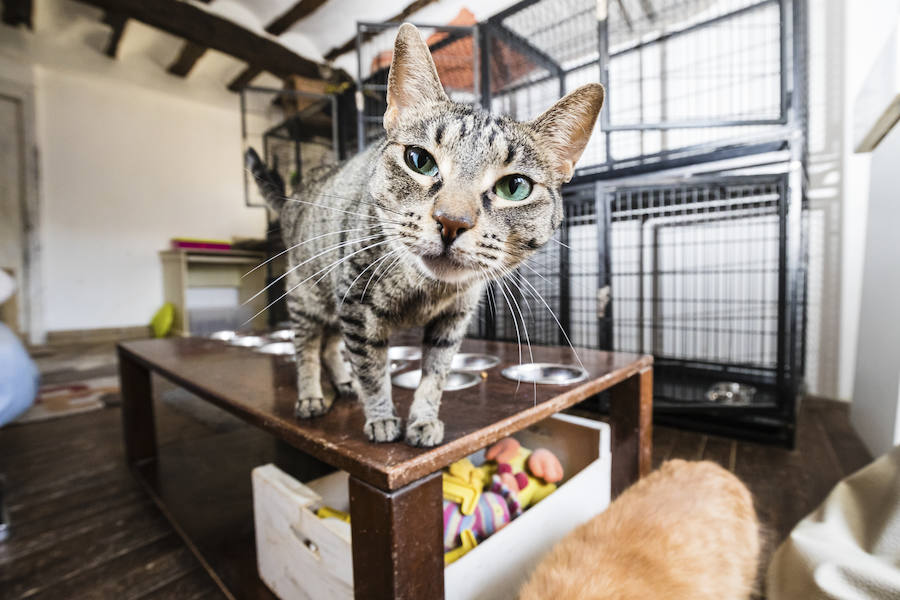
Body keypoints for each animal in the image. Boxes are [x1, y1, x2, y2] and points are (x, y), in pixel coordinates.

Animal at [248, 24, 604, 446]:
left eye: (515, 187)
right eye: (419, 160)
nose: (452, 221)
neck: (424, 290)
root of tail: (293, 197)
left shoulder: (453, 320)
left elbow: (435, 374)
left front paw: (422, 419)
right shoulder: (356, 308)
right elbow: (372, 371)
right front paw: (382, 418)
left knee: (330, 345)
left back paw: (343, 382)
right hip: (309, 296)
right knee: (306, 347)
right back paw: (311, 395)